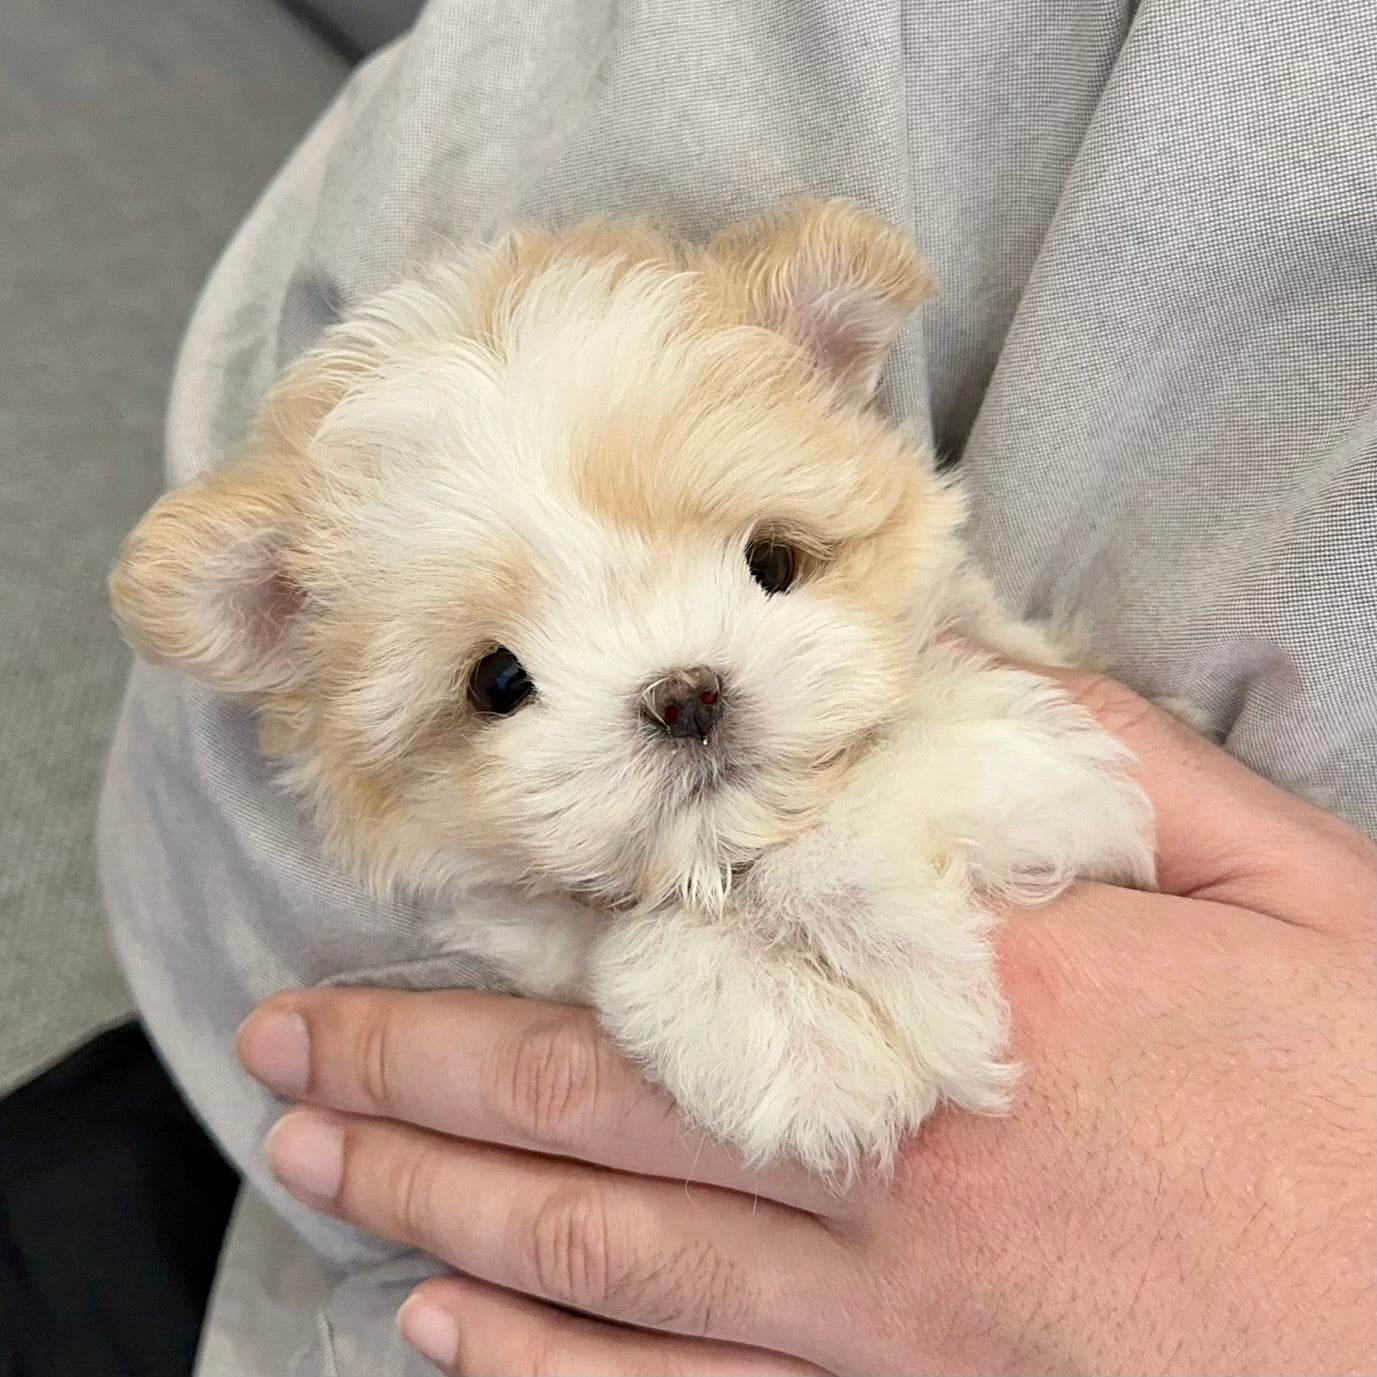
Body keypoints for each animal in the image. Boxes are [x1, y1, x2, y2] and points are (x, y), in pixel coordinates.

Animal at [112, 201, 1156, 1184]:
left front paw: (905, 959)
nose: (685, 694)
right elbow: (620, 938)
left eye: (772, 562)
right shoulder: (506, 917)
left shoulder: (1015, 723)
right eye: (497, 680)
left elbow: (900, 785)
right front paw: (793, 1031)